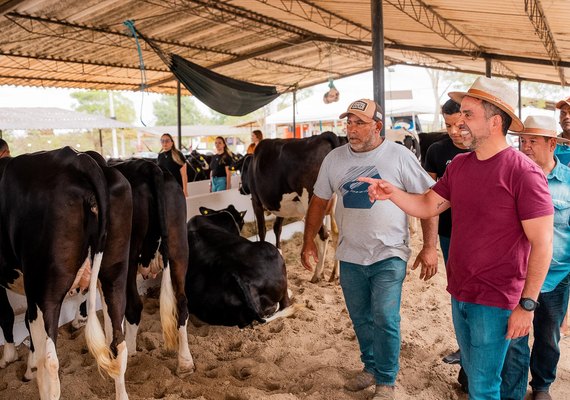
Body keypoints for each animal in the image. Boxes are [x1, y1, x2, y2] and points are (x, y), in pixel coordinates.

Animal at [0, 147, 129, 400]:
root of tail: (80, 158)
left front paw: (9, 357)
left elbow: (6, 314)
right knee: (117, 344)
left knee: (50, 364)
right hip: (113, 277)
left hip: (43, 290)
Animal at [239, 131, 344, 282]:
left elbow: (262, 231)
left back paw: (317, 274)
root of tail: (324, 135)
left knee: (323, 235)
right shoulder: (282, 208)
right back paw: (334, 274)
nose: (240, 189)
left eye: (241, 170)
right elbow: (277, 228)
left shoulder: (256, 201)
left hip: (312, 201)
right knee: (337, 234)